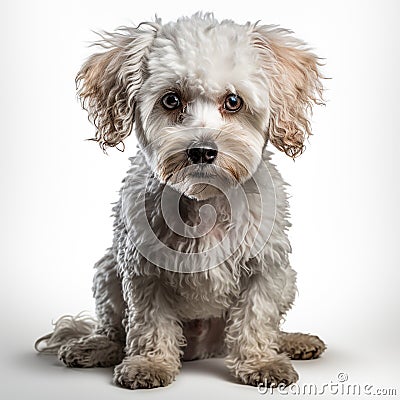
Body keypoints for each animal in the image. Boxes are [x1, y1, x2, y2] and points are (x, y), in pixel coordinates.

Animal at [36, 14, 326, 390]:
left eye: (233, 102)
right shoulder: (143, 271)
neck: (204, 202)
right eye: (171, 100)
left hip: (288, 279)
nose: (202, 151)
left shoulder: (265, 266)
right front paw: (150, 363)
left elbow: (257, 317)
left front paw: (261, 361)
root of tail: (205, 348)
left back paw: (292, 341)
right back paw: (96, 346)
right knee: (115, 328)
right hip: (107, 271)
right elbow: (150, 322)